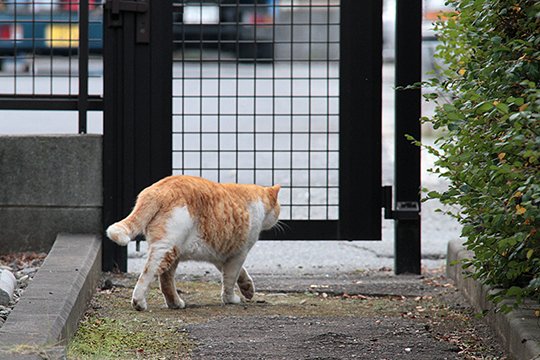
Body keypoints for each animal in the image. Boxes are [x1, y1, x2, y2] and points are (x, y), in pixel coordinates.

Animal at [107, 174, 280, 310]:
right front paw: (230, 299)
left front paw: (247, 288)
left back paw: (175, 303)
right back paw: (139, 302)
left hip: (173, 252)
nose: (278, 218)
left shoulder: (222, 256)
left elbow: (240, 273)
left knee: (166, 280)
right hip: (166, 248)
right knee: (148, 273)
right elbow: (230, 279)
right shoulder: (238, 254)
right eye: (278, 208)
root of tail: (157, 189)